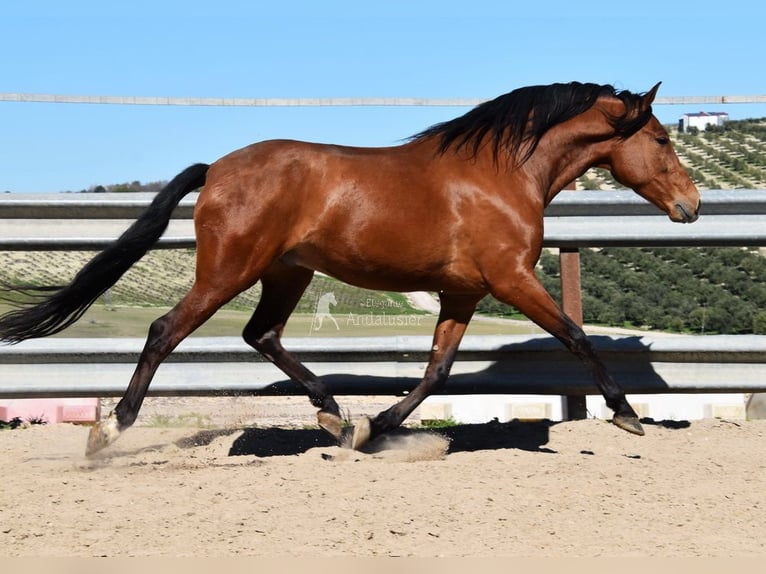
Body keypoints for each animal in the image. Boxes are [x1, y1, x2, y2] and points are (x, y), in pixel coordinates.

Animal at [0, 81, 700, 456]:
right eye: (662, 139)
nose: (691, 206)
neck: (503, 175)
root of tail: (218, 168)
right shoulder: (510, 279)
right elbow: (576, 336)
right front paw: (628, 414)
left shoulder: (462, 293)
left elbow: (438, 371)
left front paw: (373, 427)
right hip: (229, 270)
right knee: (166, 331)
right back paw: (109, 432)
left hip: (287, 273)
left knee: (261, 334)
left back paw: (333, 413)